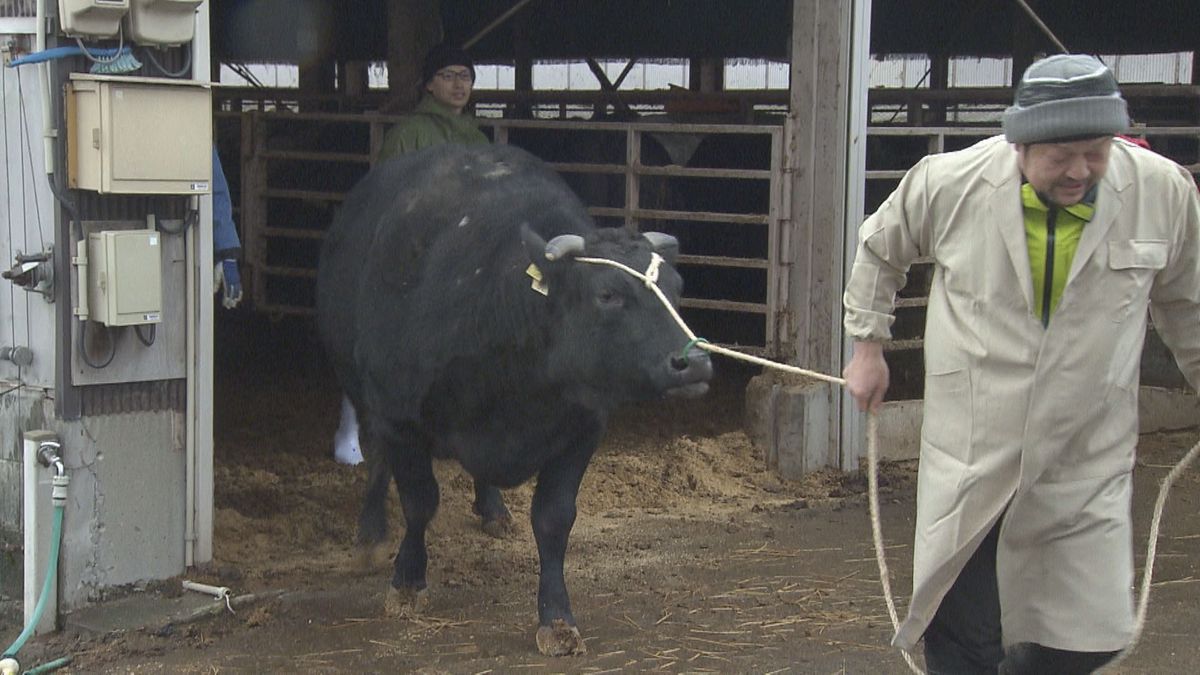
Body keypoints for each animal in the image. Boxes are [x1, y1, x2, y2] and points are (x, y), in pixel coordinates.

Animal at [316, 141, 710, 653]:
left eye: (677, 288)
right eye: (607, 294)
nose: (694, 361)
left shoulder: (582, 427)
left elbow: (553, 519)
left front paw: (557, 619)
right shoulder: (399, 414)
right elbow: (420, 501)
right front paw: (406, 582)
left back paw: (493, 510)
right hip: (365, 395)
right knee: (379, 459)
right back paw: (370, 535)